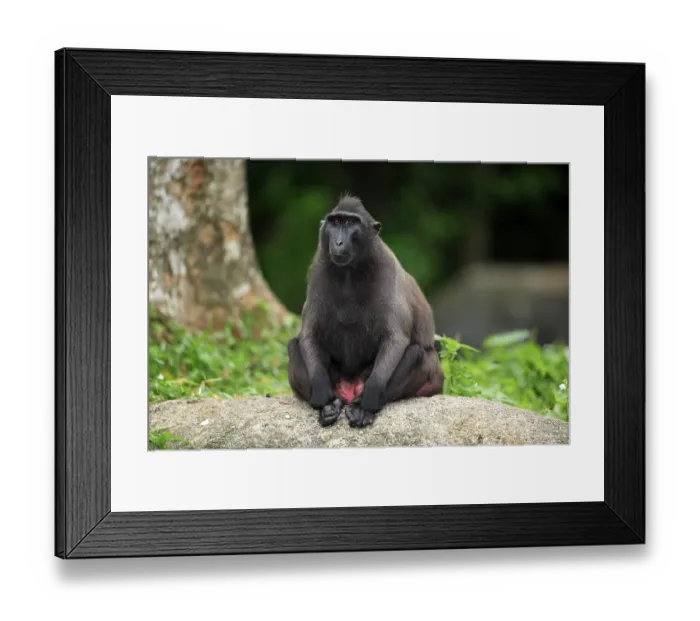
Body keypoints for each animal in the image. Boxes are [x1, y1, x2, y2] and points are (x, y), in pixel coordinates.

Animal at [287, 193, 444, 428]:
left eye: (351, 223)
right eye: (335, 222)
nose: (338, 242)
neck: (349, 273)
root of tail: (352, 387)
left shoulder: (388, 272)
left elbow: (395, 338)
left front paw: (369, 402)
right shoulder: (317, 275)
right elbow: (308, 335)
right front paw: (323, 396)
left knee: (417, 353)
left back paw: (361, 406)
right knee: (293, 345)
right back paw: (332, 405)